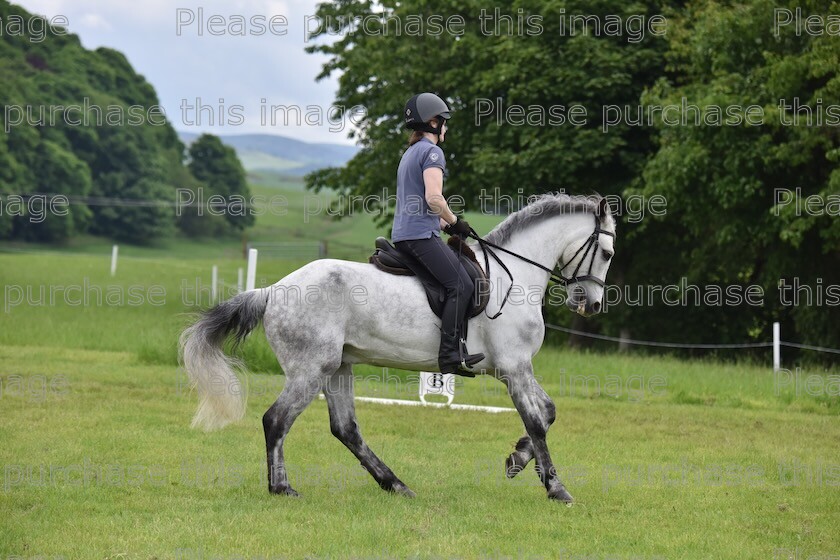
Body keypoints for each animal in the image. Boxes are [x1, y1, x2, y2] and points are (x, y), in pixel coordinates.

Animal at [180, 194, 612, 504]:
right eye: (607, 254)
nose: (591, 305)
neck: (516, 276)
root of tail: (271, 290)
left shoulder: (515, 368)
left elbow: (548, 412)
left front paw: (518, 460)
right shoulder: (515, 367)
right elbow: (537, 420)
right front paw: (556, 488)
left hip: (337, 368)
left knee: (345, 428)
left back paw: (395, 484)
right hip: (310, 370)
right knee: (276, 420)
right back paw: (282, 488)